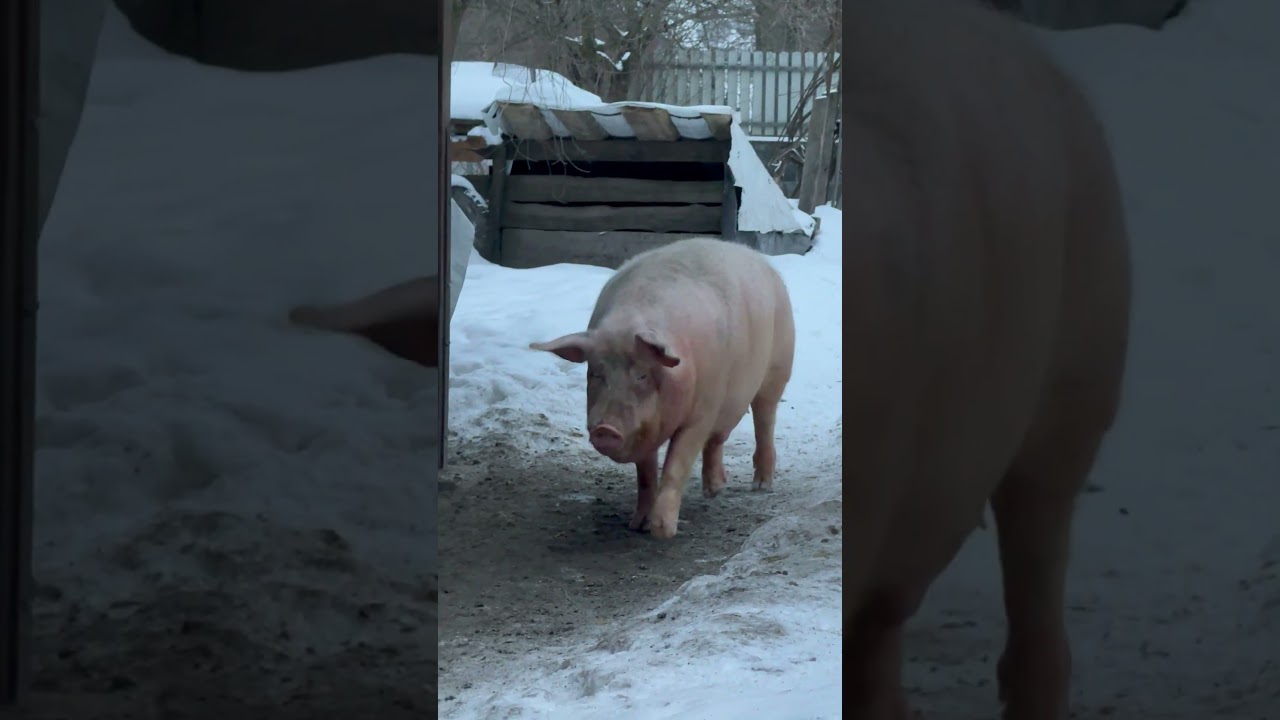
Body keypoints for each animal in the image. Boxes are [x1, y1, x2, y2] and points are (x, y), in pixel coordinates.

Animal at [531, 238, 795, 540]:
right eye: (596, 372)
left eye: (642, 374)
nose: (605, 429)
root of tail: (758, 259)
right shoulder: (649, 428)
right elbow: (646, 475)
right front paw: (637, 526)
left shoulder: (702, 410)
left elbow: (676, 464)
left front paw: (661, 531)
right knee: (717, 440)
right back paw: (713, 491)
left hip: (777, 369)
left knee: (764, 420)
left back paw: (761, 485)